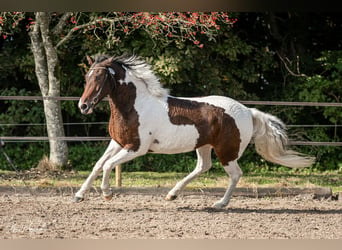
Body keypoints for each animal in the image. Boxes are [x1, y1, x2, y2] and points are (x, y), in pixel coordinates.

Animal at [73, 53, 316, 208]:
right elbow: (98, 165)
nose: (83, 106)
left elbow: (107, 165)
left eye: (99, 77)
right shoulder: (117, 143)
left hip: (226, 152)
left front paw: (107, 194)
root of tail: (248, 111)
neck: (135, 105)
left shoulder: (136, 148)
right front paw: (78, 196)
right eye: (87, 77)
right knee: (203, 166)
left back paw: (219, 203)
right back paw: (172, 194)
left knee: (235, 174)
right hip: (204, 146)